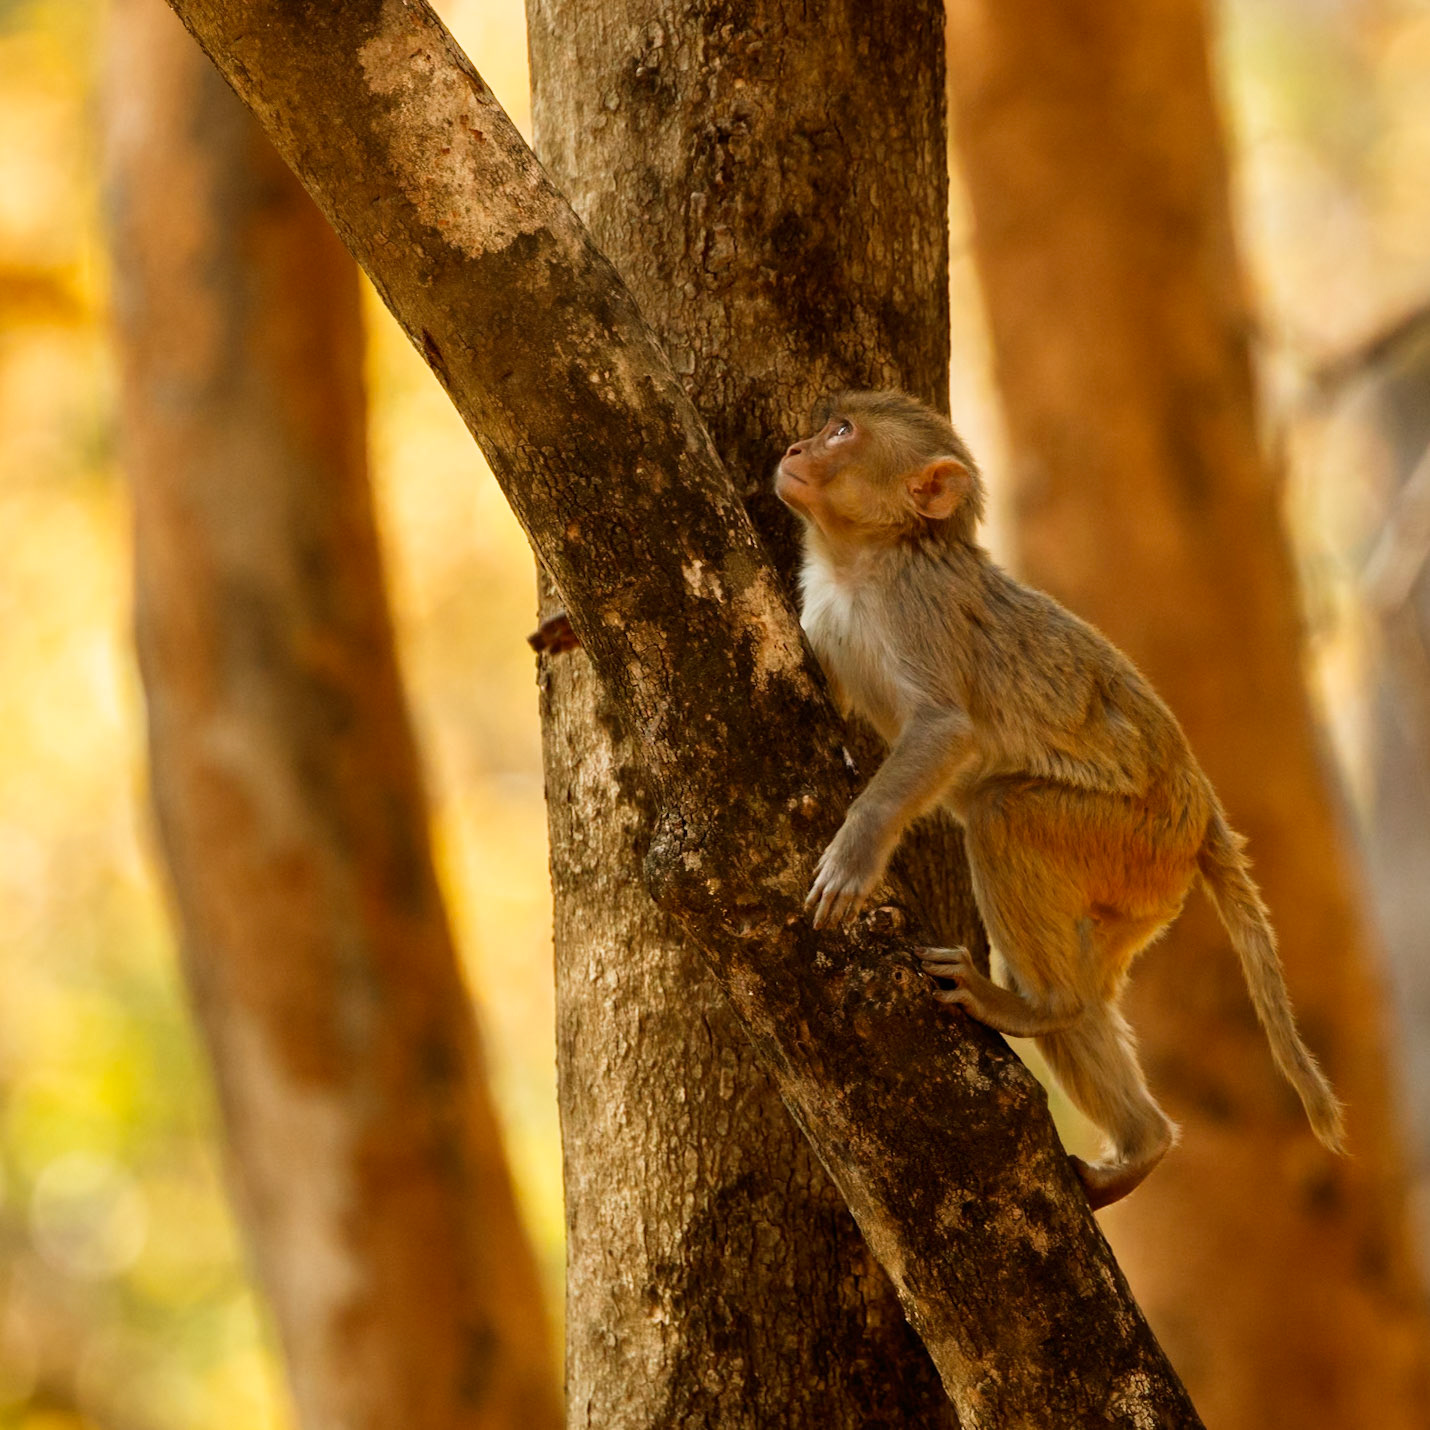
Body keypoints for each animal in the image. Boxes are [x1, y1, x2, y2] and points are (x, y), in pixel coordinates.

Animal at [774, 388, 1345, 1209]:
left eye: (841, 433)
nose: (793, 450)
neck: (867, 561)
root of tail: (1202, 813)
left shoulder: (918, 607)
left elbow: (945, 728)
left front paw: (855, 854)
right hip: (1145, 894)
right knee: (1093, 994)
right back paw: (1141, 1137)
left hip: (1124, 835)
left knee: (1003, 814)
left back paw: (1035, 1006)